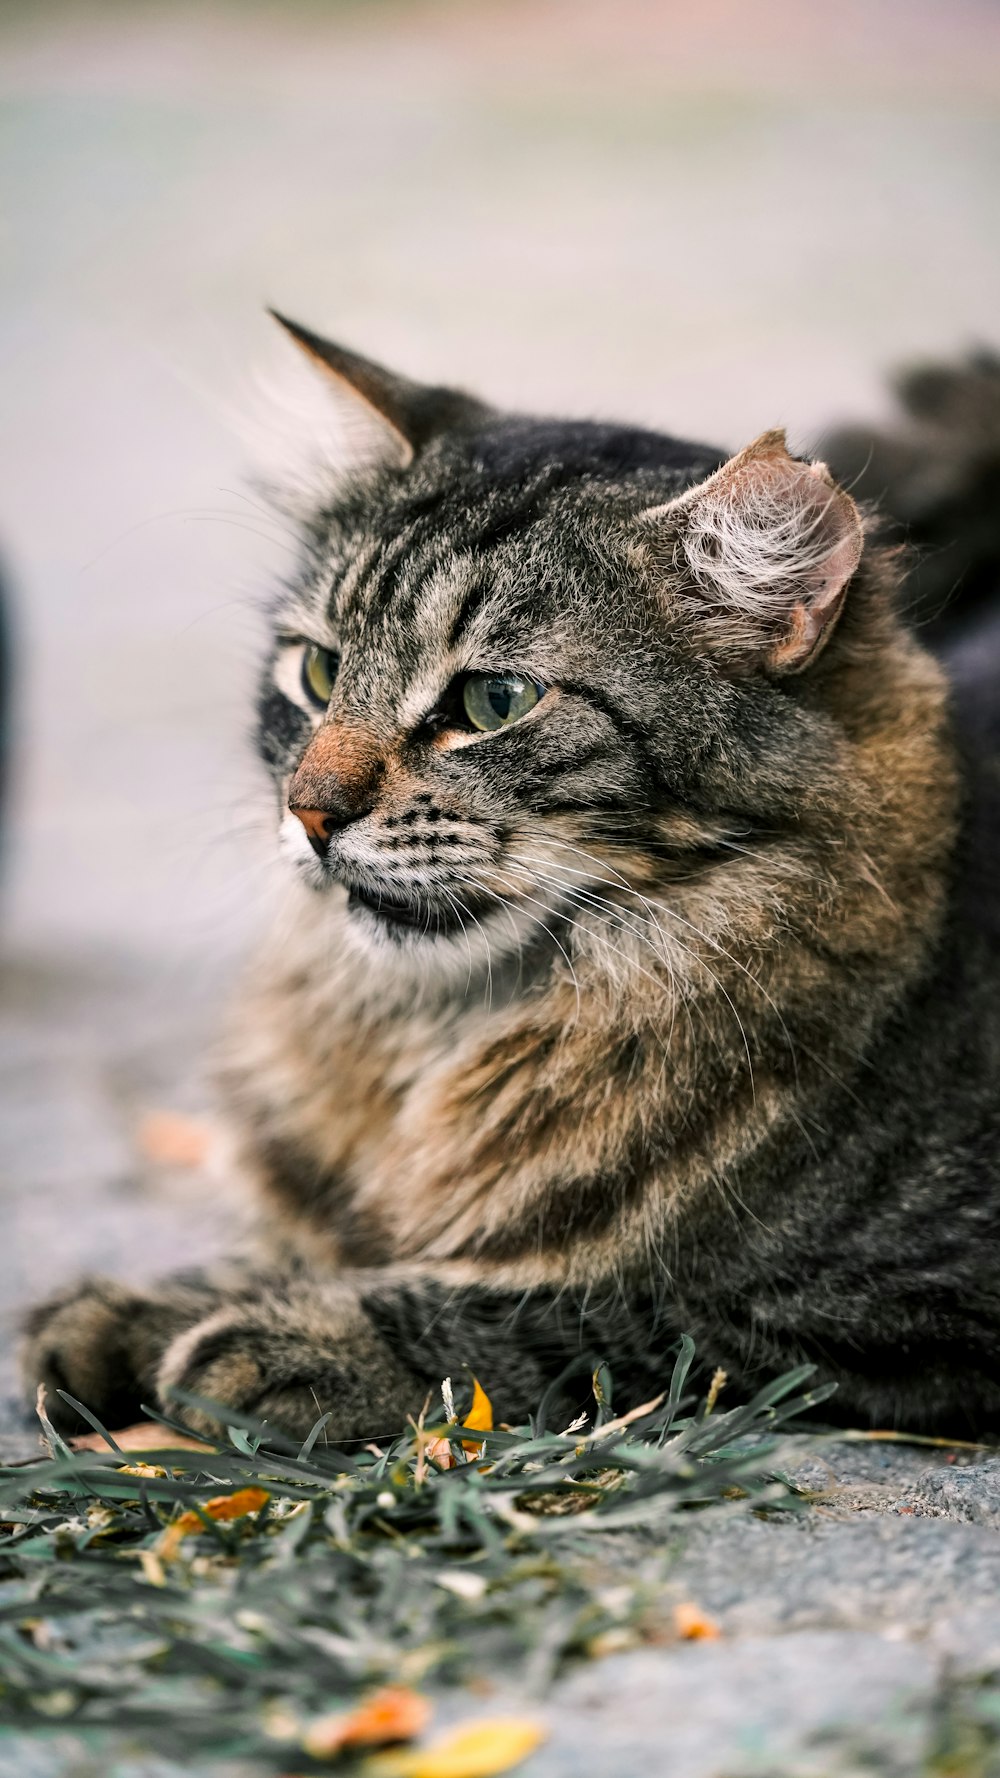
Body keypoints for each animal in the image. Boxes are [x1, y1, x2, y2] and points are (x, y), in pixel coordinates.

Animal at [21, 320, 996, 1443]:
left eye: (494, 701)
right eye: (317, 673)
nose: (309, 812)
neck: (449, 1030)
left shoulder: (886, 1306)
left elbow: (580, 1309)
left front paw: (293, 1336)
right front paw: (142, 1305)